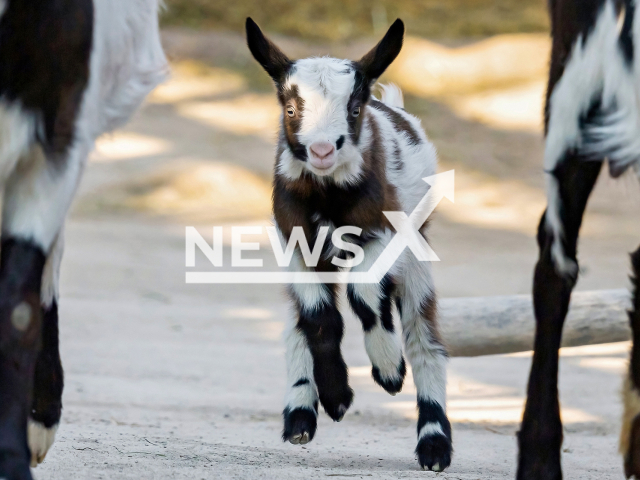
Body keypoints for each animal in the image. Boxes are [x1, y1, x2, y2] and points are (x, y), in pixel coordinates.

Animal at [248, 17, 452, 468]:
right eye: (291, 109)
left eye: (353, 109)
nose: (323, 149)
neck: (328, 196)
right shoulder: (296, 244)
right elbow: (320, 318)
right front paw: (336, 397)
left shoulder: (383, 235)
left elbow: (364, 295)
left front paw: (389, 371)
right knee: (296, 323)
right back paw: (300, 416)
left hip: (417, 250)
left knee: (424, 336)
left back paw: (434, 444)